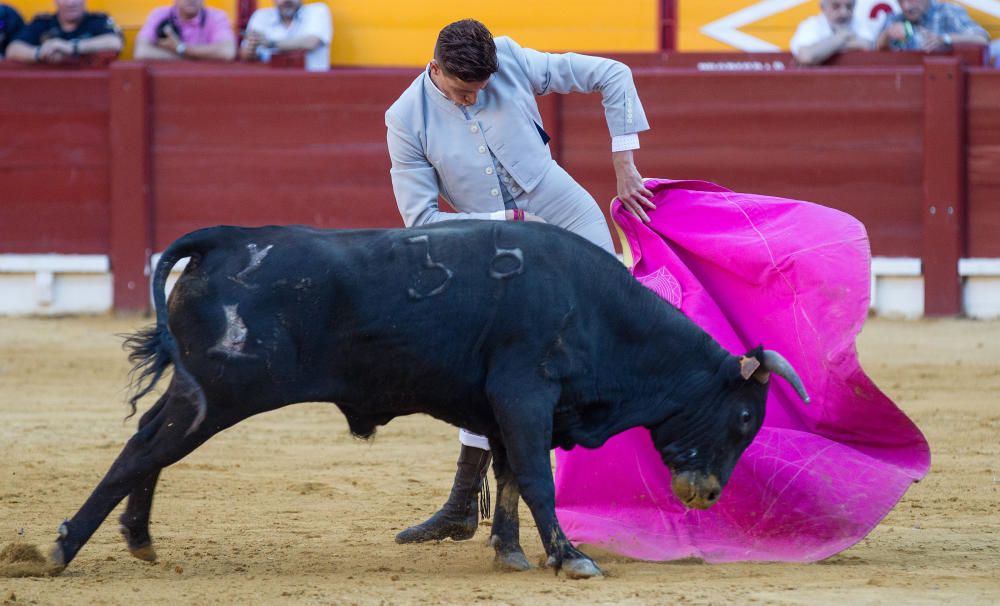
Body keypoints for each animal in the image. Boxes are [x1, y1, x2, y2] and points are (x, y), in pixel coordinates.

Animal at [48, 222, 812, 580]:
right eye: (747, 418)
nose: (707, 494)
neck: (595, 309)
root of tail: (227, 239)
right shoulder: (525, 393)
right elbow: (536, 478)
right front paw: (570, 558)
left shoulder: (502, 408)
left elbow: (508, 477)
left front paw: (508, 551)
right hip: (226, 389)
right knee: (145, 447)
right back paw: (59, 548)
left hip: (200, 387)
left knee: (152, 440)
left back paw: (140, 539)